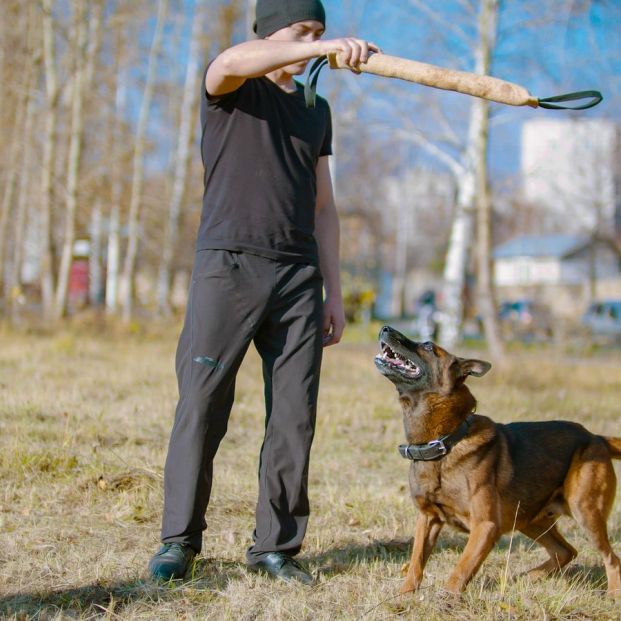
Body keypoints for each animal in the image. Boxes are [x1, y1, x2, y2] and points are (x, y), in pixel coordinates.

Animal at [372, 326, 620, 600]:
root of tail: (596, 437)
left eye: (428, 346)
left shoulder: (485, 526)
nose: (385, 328)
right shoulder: (428, 519)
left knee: (611, 558)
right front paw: (404, 595)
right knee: (566, 551)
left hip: (585, 511)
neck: (446, 441)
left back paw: (612, 594)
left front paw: (444, 601)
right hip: (529, 519)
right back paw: (527, 577)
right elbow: (416, 562)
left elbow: (460, 571)